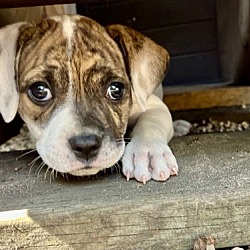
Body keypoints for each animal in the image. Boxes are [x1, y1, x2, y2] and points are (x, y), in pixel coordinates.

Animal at [0, 15, 183, 184]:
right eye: (39, 91)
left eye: (115, 89)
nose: (86, 145)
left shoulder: (152, 104)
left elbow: (150, 121)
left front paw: (148, 152)